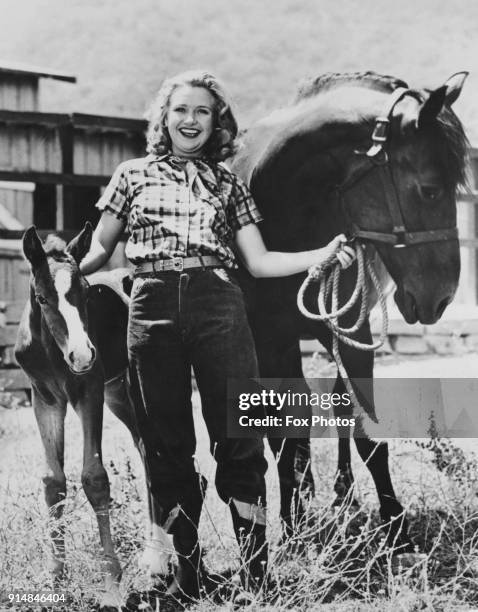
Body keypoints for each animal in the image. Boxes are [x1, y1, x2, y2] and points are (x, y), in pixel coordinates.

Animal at [14, 228, 171, 608]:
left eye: (85, 292)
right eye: (41, 298)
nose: (82, 355)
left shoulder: (90, 390)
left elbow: (95, 478)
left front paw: (111, 585)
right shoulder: (45, 398)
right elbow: (53, 482)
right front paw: (56, 579)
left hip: (131, 387)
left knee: (154, 452)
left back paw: (159, 557)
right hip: (119, 396)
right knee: (144, 450)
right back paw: (153, 553)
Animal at [233, 71, 468, 556]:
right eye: (430, 190)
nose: (440, 299)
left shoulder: (350, 329)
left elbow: (367, 433)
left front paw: (396, 527)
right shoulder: (271, 338)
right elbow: (285, 431)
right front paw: (294, 526)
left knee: (340, 406)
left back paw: (343, 494)